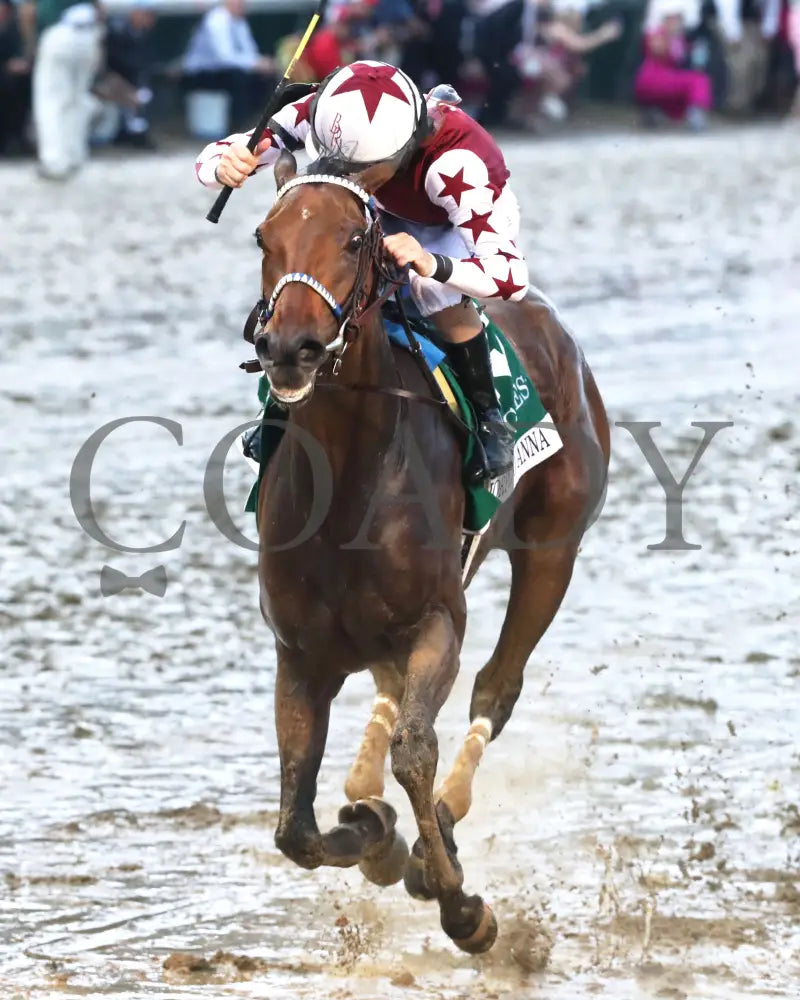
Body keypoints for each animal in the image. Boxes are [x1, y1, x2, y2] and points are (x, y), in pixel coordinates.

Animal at [253, 150, 608, 952]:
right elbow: (295, 826)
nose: (290, 348)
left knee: (495, 690)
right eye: (263, 237)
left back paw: (437, 829)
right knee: (390, 700)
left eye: (355, 238)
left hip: (553, 549)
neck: (348, 482)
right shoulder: (300, 652)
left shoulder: (436, 622)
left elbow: (416, 751)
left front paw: (459, 903)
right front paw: (371, 833)